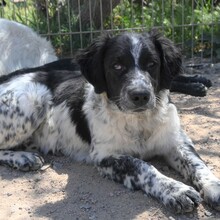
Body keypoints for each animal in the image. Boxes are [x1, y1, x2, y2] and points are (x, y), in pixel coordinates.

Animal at [0, 29, 220, 213]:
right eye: (117, 66)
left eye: (152, 64)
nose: (140, 95)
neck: (138, 122)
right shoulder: (105, 156)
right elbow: (141, 165)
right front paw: (175, 190)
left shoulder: (177, 141)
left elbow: (198, 164)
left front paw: (215, 188)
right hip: (33, 99)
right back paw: (23, 158)